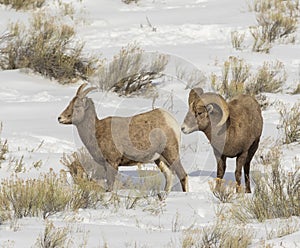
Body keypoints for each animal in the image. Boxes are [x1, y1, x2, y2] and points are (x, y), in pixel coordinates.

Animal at [58, 83, 188, 192]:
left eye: (77, 106)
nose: (60, 118)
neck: (95, 131)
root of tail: (171, 121)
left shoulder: (112, 163)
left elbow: (110, 186)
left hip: (171, 153)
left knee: (183, 175)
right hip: (159, 159)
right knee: (169, 175)